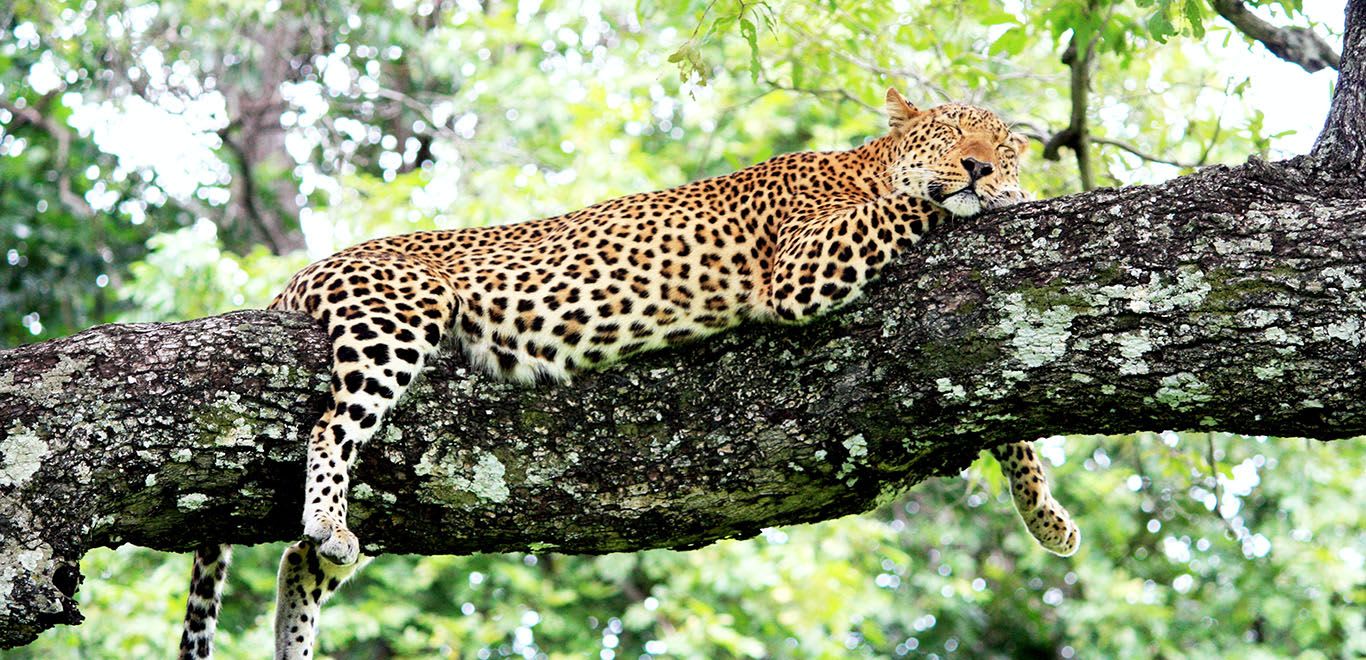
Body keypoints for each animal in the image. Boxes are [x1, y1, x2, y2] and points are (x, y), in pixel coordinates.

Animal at [176, 88, 1076, 660]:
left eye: (1002, 145)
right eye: (954, 134)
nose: (982, 168)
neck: (865, 162)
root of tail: (307, 271)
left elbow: (1008, 422)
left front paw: (1047, 520)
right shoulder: (804, 265)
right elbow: (912, 206)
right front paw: (987, 200)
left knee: (296, 560)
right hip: (397, 318)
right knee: (331, 430)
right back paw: (329, 523)